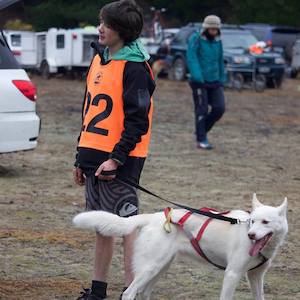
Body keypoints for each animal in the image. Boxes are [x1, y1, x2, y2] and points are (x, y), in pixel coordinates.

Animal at [72, 195, 288, 300]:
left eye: (265, 222)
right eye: (252, 221)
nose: (251, 235)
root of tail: (154, 216)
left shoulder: (256, 276)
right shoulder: (232, 274)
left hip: (160, 267)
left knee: (143, 293)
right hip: (151, 267)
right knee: (129, 293)